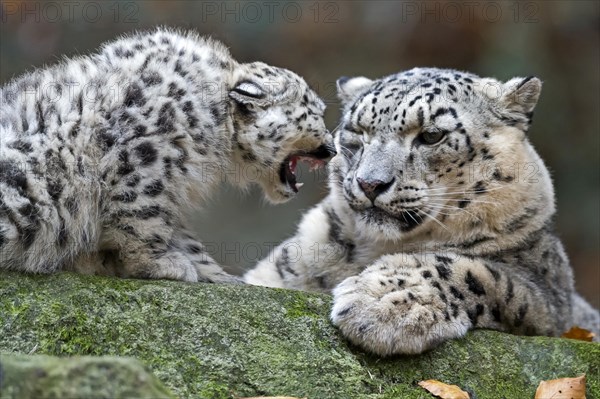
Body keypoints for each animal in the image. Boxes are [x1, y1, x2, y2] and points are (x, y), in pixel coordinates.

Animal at [0, 28, 332, 282]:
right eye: (317, 112)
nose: (333, 148)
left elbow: (185, 237)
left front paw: (220, 275)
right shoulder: (146, 160)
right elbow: (142, 215)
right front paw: (160, 264)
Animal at [245, 67, 600, 354]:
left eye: (431, 135)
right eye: (358, 133)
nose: (370, 183)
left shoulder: (547, 297)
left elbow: (470, 270)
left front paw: (381, 301)